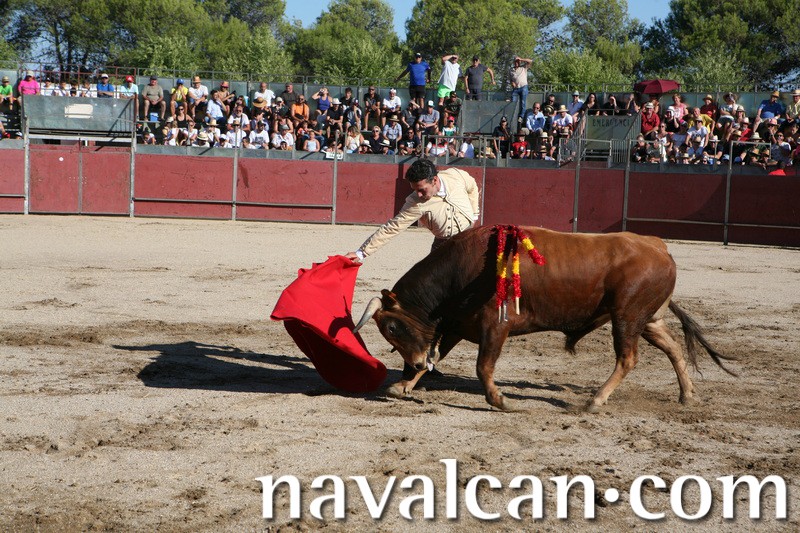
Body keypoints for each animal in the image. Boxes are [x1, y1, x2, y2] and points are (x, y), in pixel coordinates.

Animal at [353, 225, 737, 412]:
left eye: (392, 326)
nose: (413, 363)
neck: (463, 270)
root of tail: (660, 246)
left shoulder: (495, 326)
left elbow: (483, 367)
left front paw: (500, 401)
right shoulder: (458, 324)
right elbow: (440, 354)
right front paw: (405, 385)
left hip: (627, 317)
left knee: (627, 358)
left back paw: (595, 401)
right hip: (648, 319)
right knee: (672, 348)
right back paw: (687, 395)